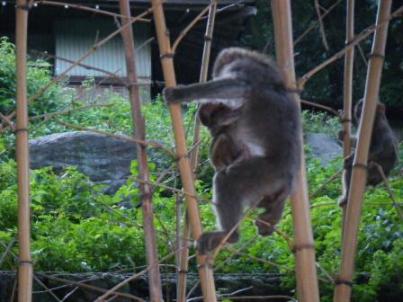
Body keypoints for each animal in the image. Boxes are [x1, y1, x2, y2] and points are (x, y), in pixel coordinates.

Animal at [163, 47, 302, 255]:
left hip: (266, 174)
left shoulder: (242, 68)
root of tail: (289, 178)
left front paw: (180, 93)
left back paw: (230, 235)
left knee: (228, 180)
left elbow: (238, 87)